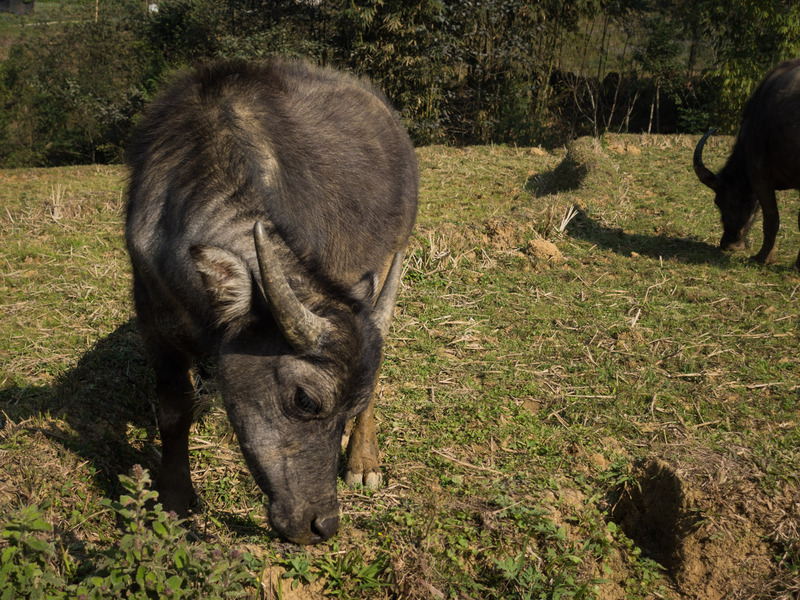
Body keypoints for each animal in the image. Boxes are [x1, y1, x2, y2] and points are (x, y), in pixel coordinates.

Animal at [125, 59, 418, 544]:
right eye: (305, 400)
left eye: (346, 411)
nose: (323, 524)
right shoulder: (152, 319)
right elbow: (173, 411)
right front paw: (174, 498)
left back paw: (363, 462)